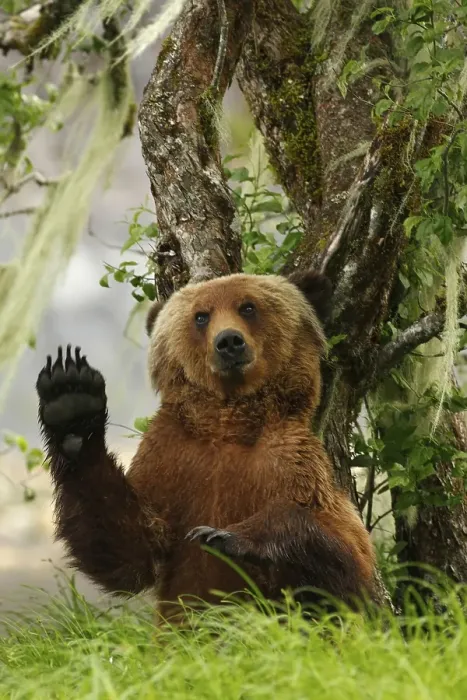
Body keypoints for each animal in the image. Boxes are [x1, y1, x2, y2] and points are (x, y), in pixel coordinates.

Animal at [36, 270, 376, 620]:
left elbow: (349, 560)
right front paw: (72, 403)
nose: (229, 342)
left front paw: (225, 535)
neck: (228, 426)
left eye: (248, 307)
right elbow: (132, 549)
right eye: (201, 316)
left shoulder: (291, 461)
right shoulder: (170, 458)